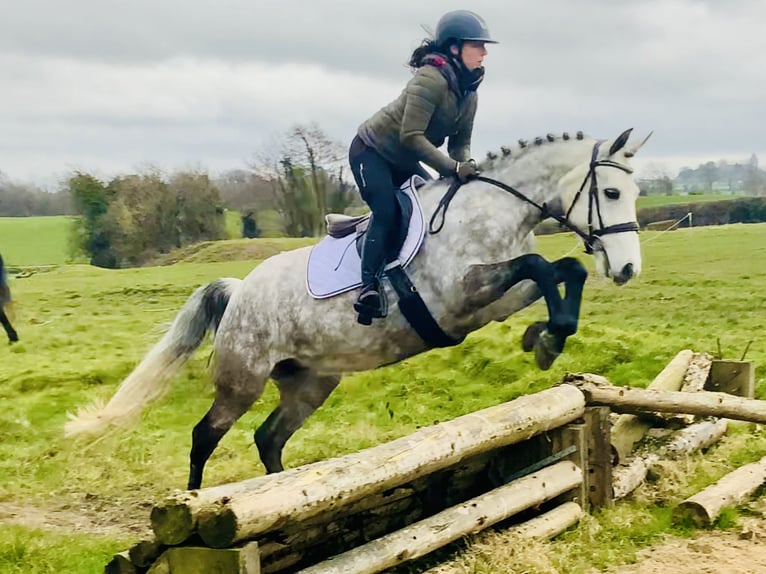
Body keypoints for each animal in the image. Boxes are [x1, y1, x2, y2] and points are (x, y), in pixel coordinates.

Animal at [69, 130, 652, 490]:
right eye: (612, 192)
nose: (626, 268)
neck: (492, 209)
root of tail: (238, 291)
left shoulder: (497, 297)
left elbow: (560, 270)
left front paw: (546, 336)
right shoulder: (463, 292)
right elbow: (540, 263)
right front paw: (549, 337)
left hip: (311, 382)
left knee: (267, 437)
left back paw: (282, 493)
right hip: (243, 379)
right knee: (205, 435)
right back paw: (194, 502)